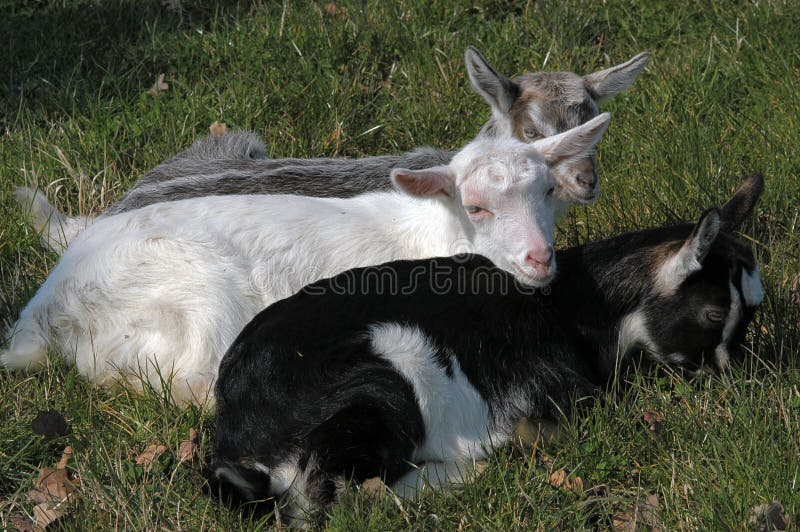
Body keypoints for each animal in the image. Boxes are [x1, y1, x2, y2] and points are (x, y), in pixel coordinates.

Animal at [209, 176, 764, 524]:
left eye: (752, 313)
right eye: (712, 314)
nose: (736, 383)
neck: (574, 302)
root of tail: (239, 437)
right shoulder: (557, 390)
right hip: (389, 369)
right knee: (334, 498)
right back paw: (472, 469)